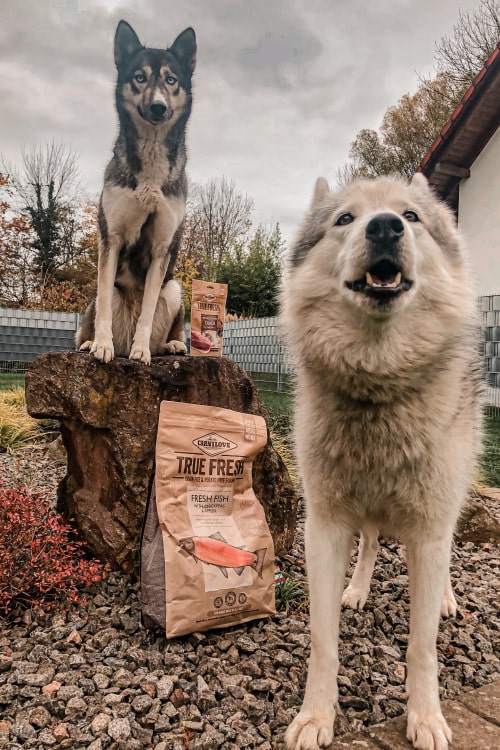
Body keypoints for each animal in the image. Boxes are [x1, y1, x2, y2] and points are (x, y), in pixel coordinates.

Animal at [77, 20, 196, 364]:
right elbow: (104, 302)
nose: (158, 107)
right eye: (139, 77)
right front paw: (101, 345)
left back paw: (169, 345)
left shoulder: (161, 248)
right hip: (99, 294)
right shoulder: (111, 239)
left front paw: (141, 351)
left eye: (171, 80)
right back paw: (91, 342)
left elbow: (147, 310)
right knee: (94, 313)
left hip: (174, 289)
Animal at [282, 175, 480, 750]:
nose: (386, 226)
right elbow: (323, 641)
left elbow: (423, 646)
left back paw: (446, 598)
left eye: (411, 216)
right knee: (370, 544)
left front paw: (426, 717)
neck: (380, 384)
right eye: (345, 219)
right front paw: (316, 716)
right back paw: (358, 588)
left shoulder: (430, 530)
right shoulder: (324, 527)